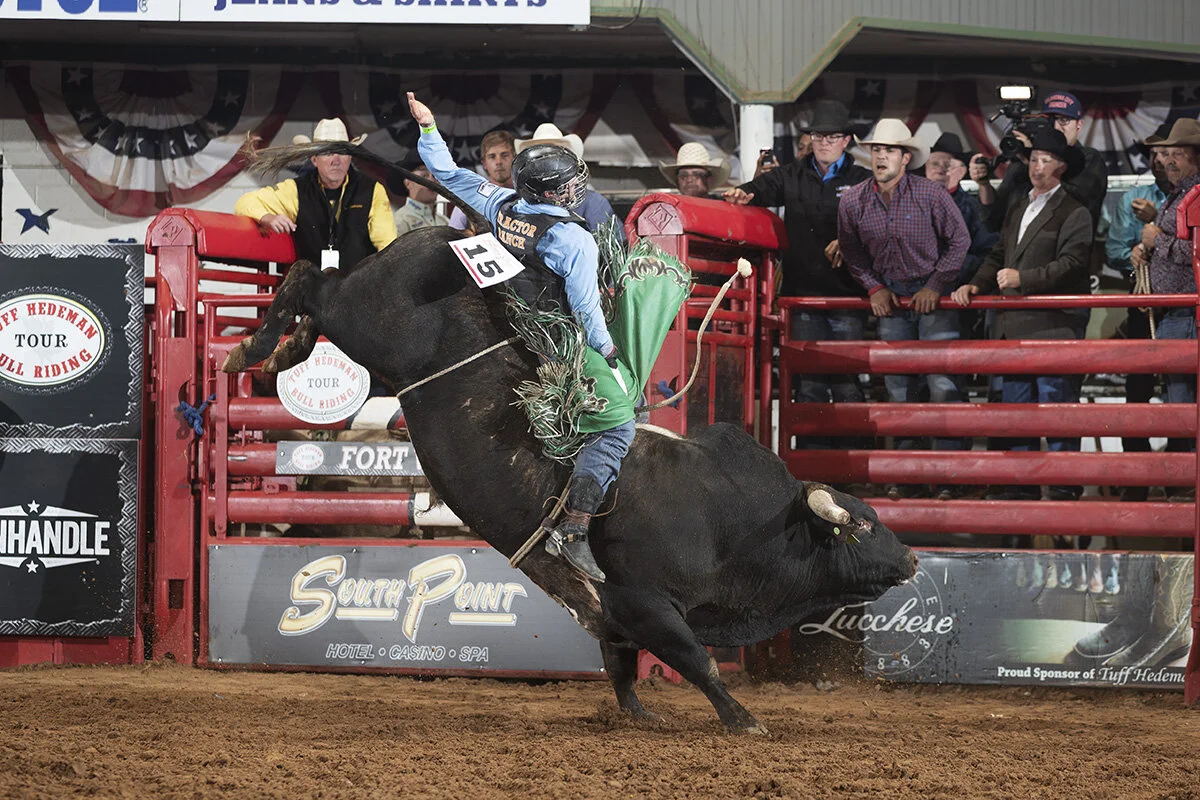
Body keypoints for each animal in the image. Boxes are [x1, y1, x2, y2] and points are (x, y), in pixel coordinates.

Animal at [222, 142, 918, 733]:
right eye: (860, 524)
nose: (912, 559)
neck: (730, 517)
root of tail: (449, 236)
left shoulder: (617, 619)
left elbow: (620, 665)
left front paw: (639, 715)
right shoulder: (647, 604)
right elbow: (698, 661)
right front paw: (742, 719)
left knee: (311, 282)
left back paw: (285, 347)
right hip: (365, 320)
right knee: (308, 278)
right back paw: (258, 348)